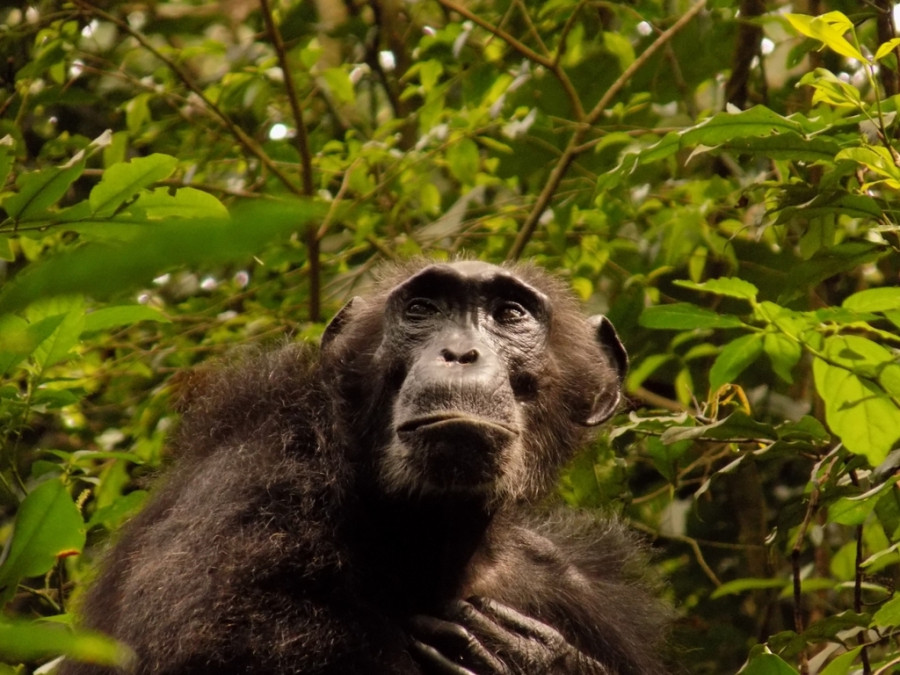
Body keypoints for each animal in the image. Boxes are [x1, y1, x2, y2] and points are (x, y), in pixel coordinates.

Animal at [63, 262, 668, 672]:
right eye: (422, 309)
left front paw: (545, 660)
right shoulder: (253, 478)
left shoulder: (587, 592)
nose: (459, 352)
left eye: (509, 314)